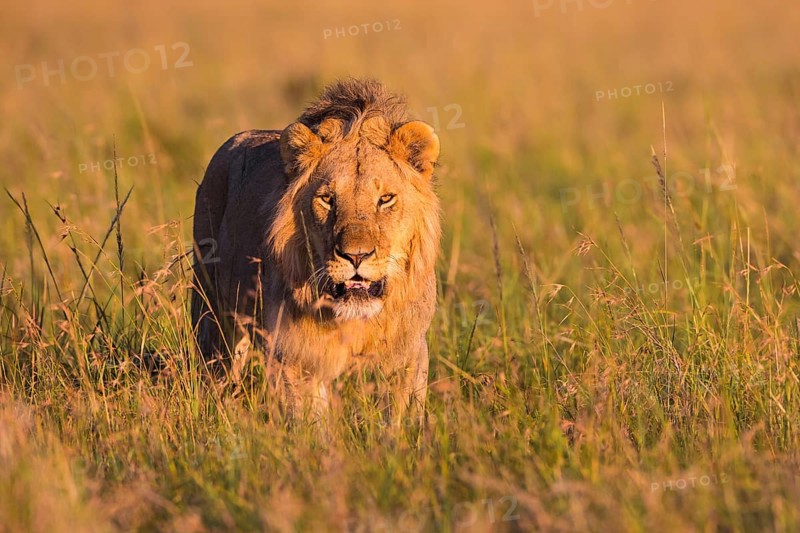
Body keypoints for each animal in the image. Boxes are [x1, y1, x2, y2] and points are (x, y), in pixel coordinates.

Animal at [191, 79, 441, 422]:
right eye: (327, 199)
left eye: (385, 199)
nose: (356, 256)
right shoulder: (294, 358)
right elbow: (310, 423)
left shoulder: (408, 355)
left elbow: (399, 419)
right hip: (211, 310)